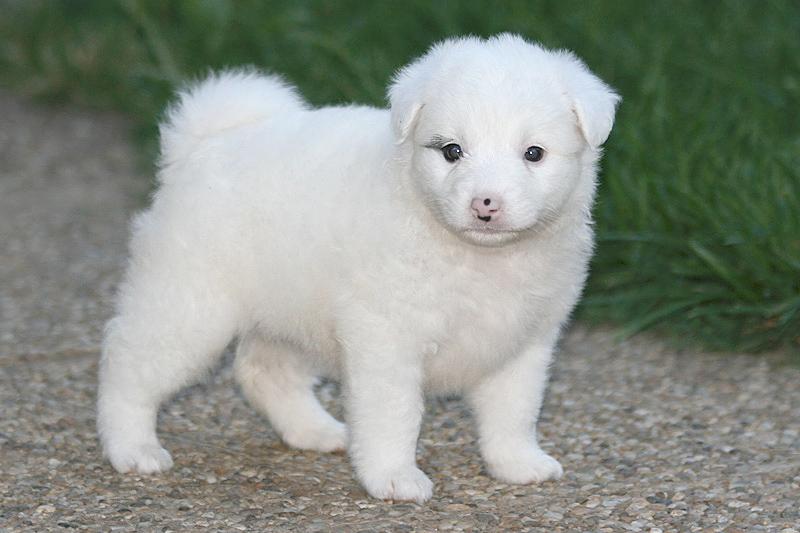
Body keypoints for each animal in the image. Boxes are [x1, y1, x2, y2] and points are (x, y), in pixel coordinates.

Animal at [97, 33, 618, 502]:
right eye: (451, 151)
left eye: (534, 153)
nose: (485, 203)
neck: (481, 259)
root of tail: (205, 143)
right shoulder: (388, 338)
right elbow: (395, 414)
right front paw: (394, 478)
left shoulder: (524, 342)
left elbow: (515, 412)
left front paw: (517, 463)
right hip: (189, 305)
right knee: (128, 364)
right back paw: (132, 448)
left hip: (292, 310)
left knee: (264, 371)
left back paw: (316, 431)